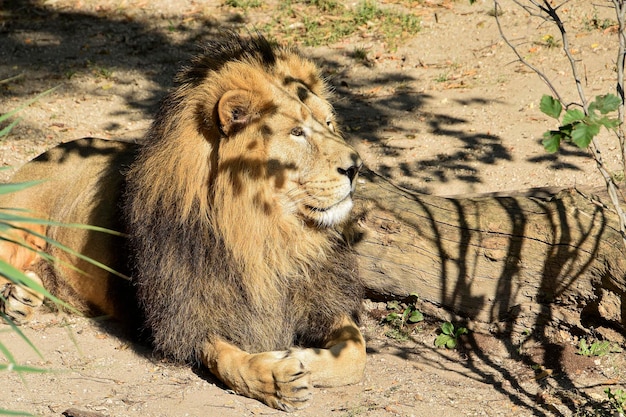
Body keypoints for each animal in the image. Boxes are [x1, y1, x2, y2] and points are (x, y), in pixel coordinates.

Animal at [0, 33, 364, 410]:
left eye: (329, 124)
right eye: (296, 132)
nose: (356, 166)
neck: (268, 233)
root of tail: (47, 153)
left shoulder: (320, 297)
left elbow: (356, 352)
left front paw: (299, 354)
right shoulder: (187, 312)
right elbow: (226, 358)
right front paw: (276, 377)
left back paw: (21, 298)